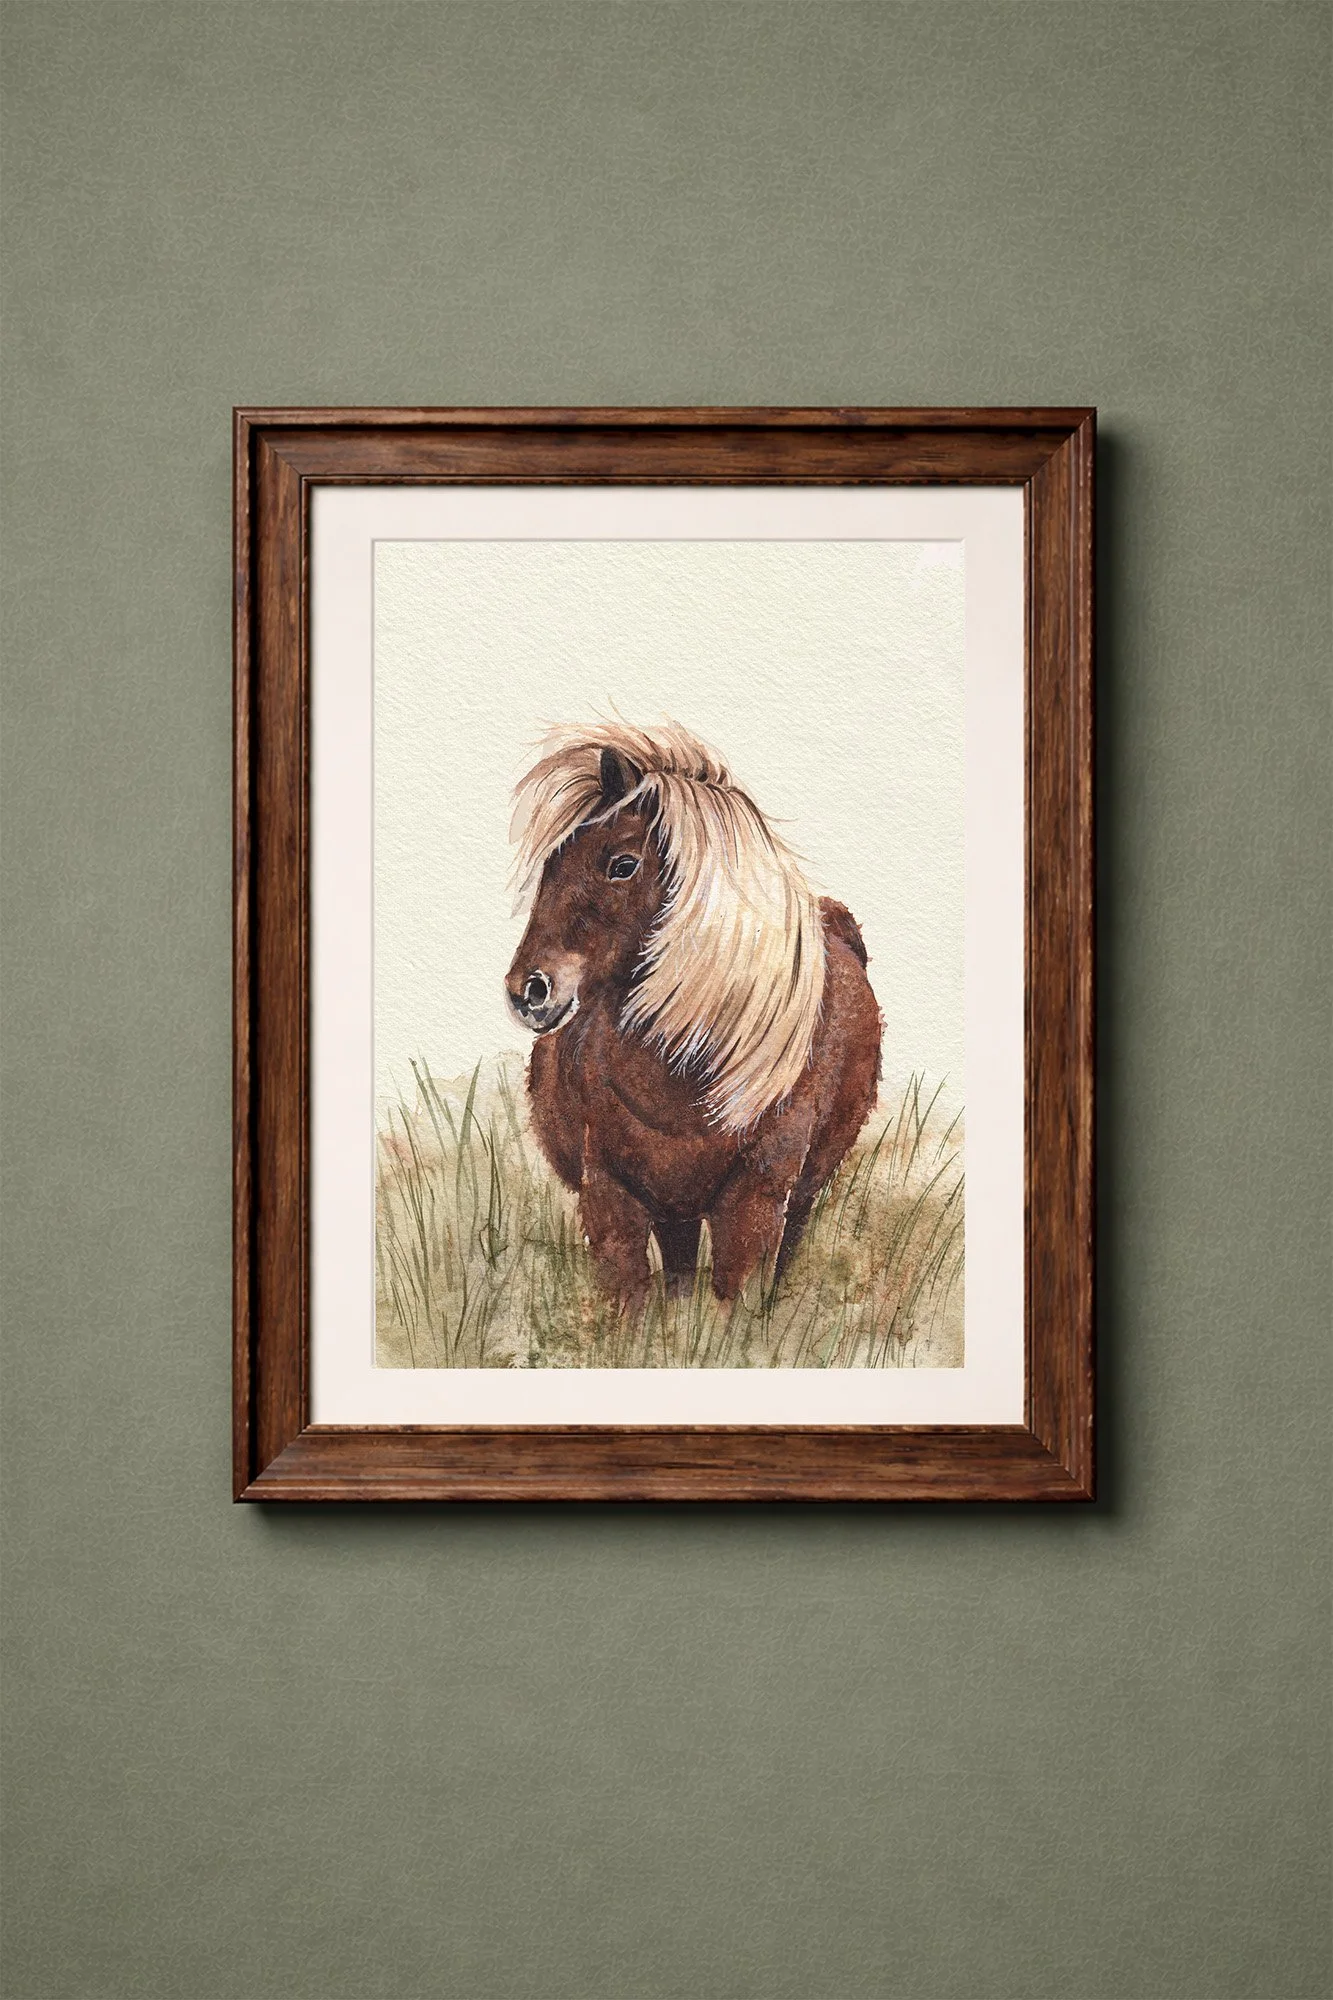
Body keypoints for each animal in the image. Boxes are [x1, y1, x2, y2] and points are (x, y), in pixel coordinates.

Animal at [505, 722, 882, 1306]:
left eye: (622, 865)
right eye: (551, 865)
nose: (529, 990)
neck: (686, 1080)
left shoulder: (754, 1202)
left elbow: (739, 1301)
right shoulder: (612, 1199)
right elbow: (629, 1305)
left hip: (802, 1192)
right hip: (674, 1211)